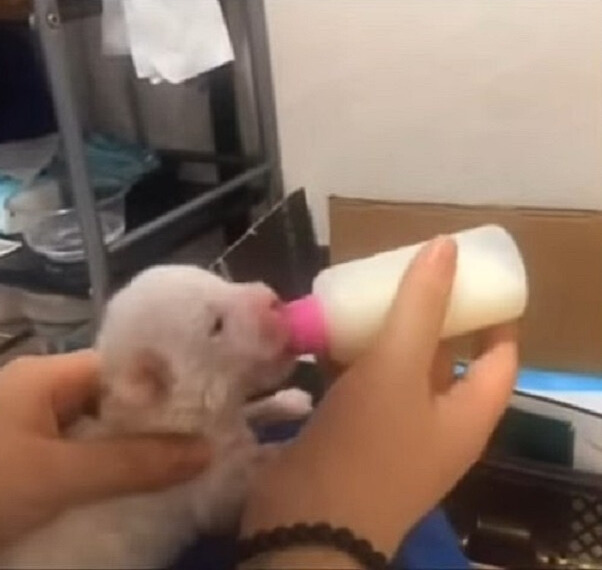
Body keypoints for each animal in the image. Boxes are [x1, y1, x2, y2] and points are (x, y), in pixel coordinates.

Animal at [0, 266, 310, 568]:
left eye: (221, 281)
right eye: (216, 325)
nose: (274, 300)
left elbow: (249, 415)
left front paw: (289, 402)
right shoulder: (206, 493)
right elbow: (234, 490)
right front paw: (283, 451)